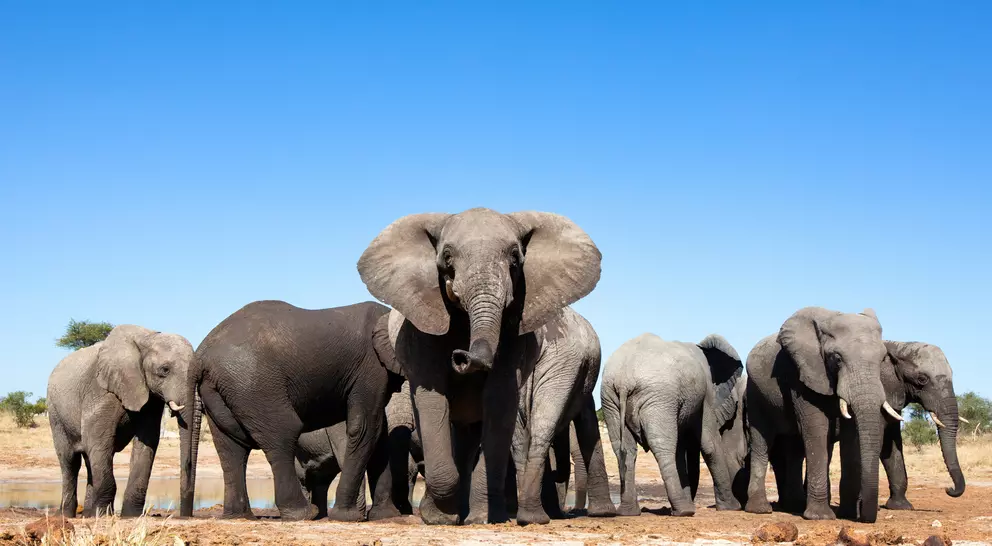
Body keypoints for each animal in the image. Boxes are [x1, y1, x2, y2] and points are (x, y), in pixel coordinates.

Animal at [47, 325, 194, 517]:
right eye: (165, 370)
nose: (186, 514)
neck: (147, 338)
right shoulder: (101, 390)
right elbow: (99, 440)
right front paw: (102, 515)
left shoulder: (150, 397)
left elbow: (147, 442)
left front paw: (130, 516)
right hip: (55, 413)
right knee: (70, 461)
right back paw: (68, 515)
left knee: (89, 460)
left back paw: (88, 514)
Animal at [181, 300, 404, 522]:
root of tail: (199, 356)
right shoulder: (371, 367)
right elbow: (365, 427)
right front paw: (347, 517)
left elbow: (379, 433)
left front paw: (386, 515)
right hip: (253, 383)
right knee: (282, 434)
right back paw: (304, 513)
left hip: (222, 389)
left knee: (231, 447)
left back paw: (240, 516)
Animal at [357, 208, 602, 525]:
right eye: (447, 257)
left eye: (515, 257)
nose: (461, 356)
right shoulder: (421, 328)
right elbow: (432, 398)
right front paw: (439, 518)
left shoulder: (514, 334)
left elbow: (499, 399)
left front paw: (480, 518)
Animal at [600, 333, 744, 517]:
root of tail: (624, 380)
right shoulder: (706, 396)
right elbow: (709, 445)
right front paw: (732, 507)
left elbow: (681, 449)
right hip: (658, 398)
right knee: (663, 446)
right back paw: (684, 511)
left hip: (611, 399)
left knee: (624, 449)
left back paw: (629, 512)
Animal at [744, 307, 900, 523]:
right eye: (837, 358)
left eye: (883, 359)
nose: (863, 512)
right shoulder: (803, 373)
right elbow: (817, 429)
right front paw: (821, 517)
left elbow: (850, 436)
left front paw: (847, 514)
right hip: (755, 392)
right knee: (762, 439)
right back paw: (760, 509)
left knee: (794, 449)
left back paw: (795, 505)